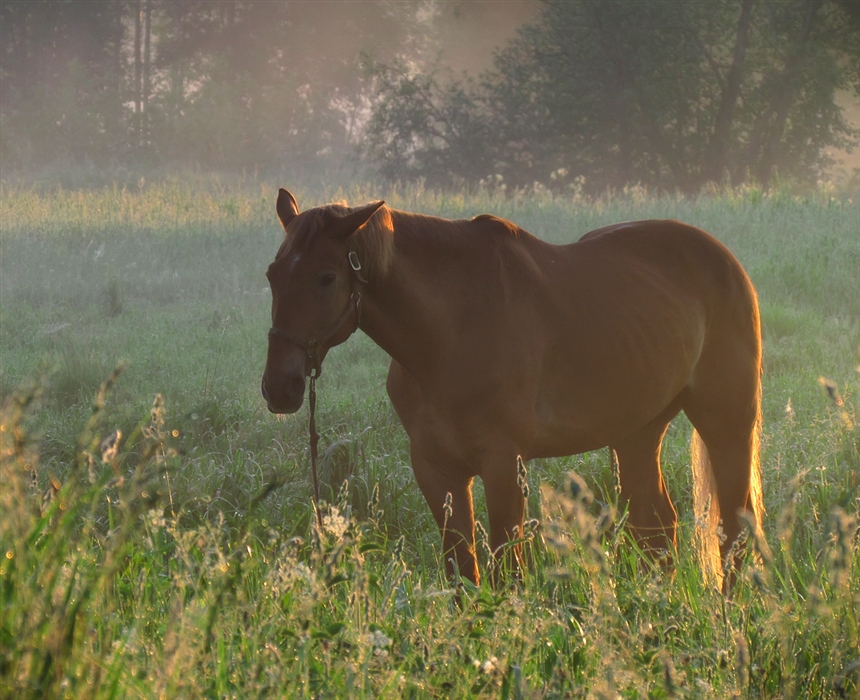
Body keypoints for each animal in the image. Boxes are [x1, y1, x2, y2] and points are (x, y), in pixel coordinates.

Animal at [258, 189, 764, 588]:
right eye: (272, 275)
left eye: (326, 278)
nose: (279, 388)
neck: (448, 333)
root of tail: (727, 262)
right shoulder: (435, 468)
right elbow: (462, 572)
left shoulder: (504, 465)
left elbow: (507, 571)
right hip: (637, 432)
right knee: (656, 528)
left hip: (727, 422)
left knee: (735, 526)